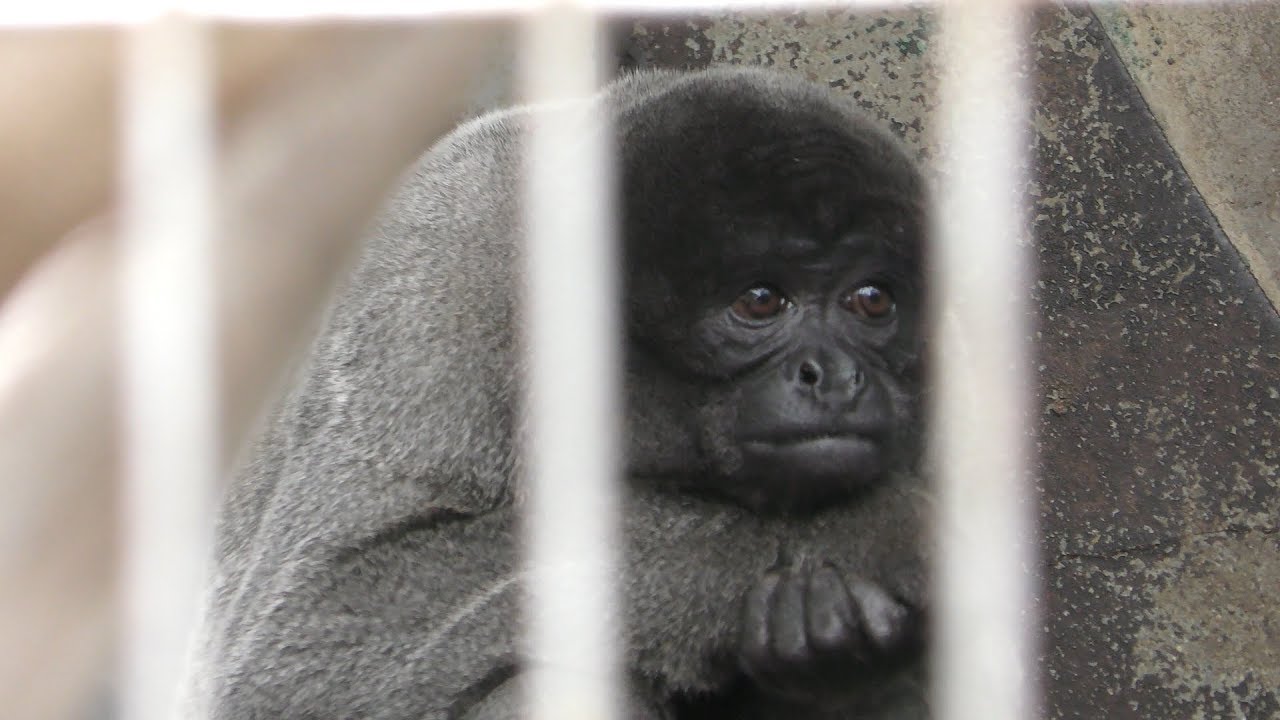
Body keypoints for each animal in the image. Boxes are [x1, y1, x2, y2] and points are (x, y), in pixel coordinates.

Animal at [188, 66, 932, 720]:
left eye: (871, 301)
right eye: (760, 301)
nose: (832, 375)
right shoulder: (444, 279)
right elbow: (312, 631)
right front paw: (884, 533)